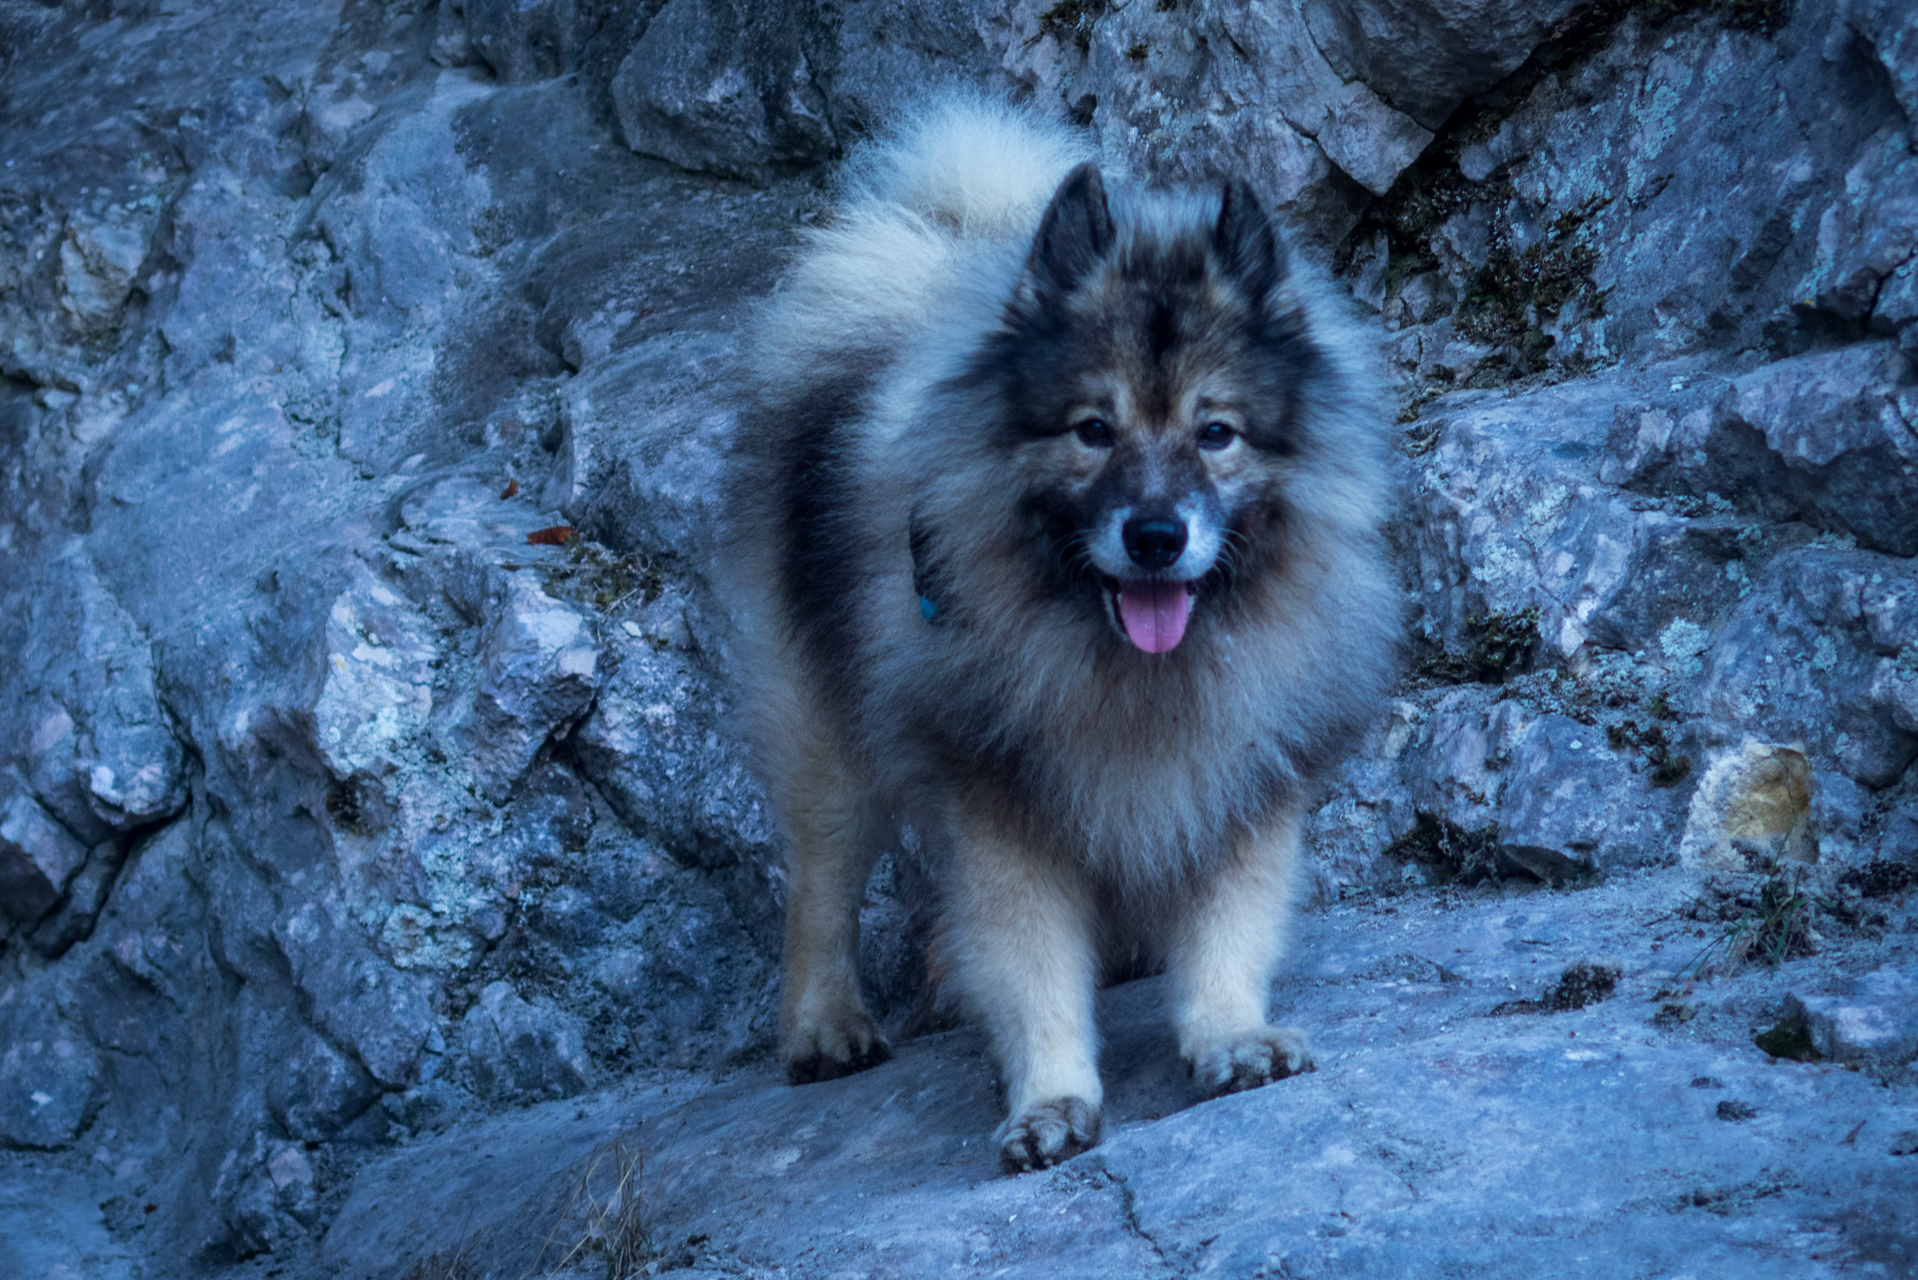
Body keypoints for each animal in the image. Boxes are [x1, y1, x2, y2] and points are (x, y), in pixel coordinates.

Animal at [721, 100, 1396, 1174]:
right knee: (822, 877)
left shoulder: (1241, 770)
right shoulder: (1001, 802)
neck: (1130, 666)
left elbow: (1231, 924)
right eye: (1092, 430)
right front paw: (1050, 1099)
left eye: (1216, 432)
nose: (1156, 535)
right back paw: (826, 1025)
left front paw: (1231, 1034)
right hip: (827, 731)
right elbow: (1031, 963)